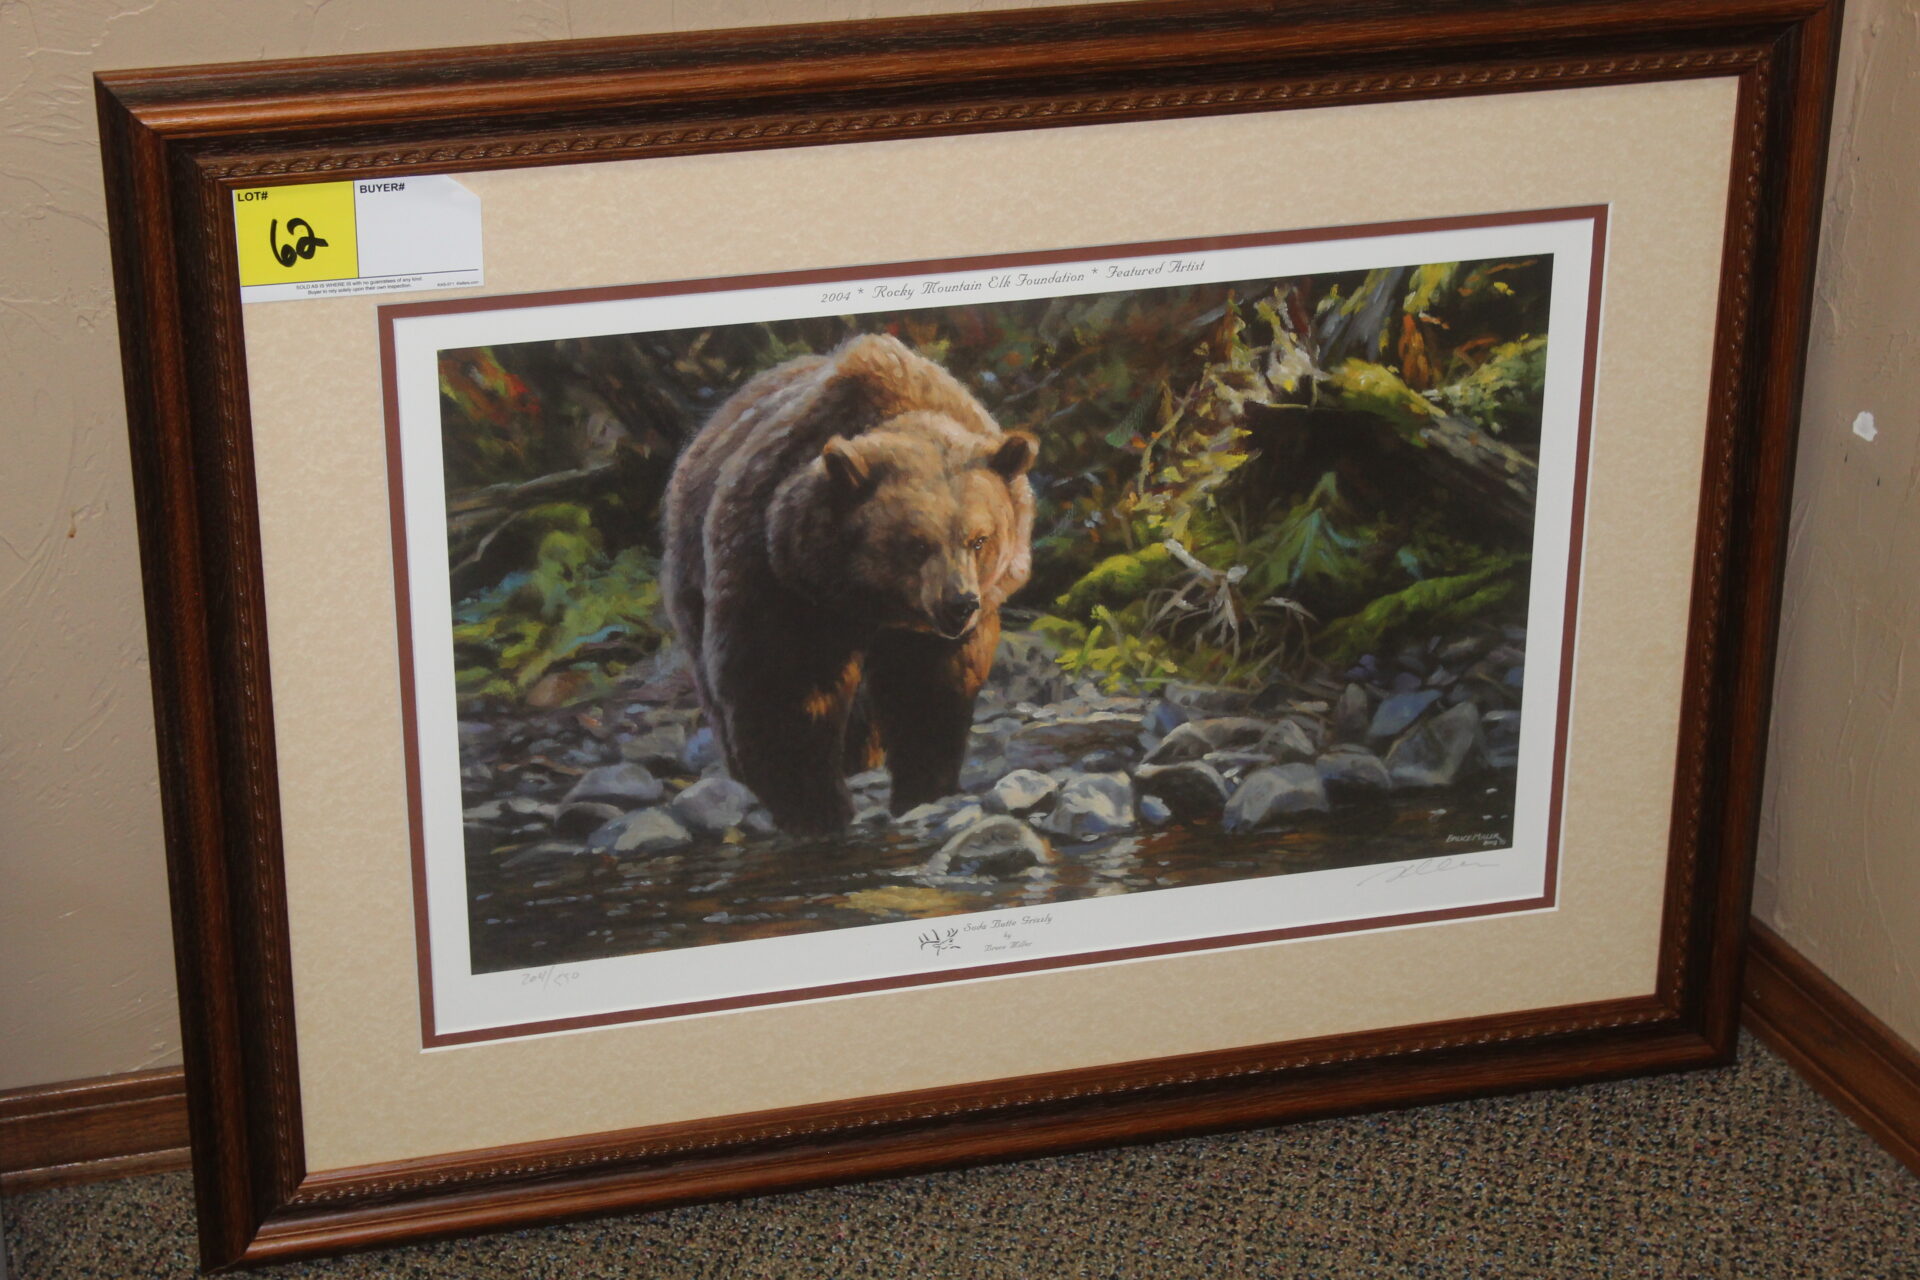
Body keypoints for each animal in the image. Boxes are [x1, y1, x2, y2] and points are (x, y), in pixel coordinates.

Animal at [661, 333, 1037, 837]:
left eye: (980, 539)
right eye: (915, 543)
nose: (959, 603)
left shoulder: (931, 634)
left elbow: (931, 692)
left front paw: (922, 788)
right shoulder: (777, 580)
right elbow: (780, 687)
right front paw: (817, 808)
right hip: (690, 564)